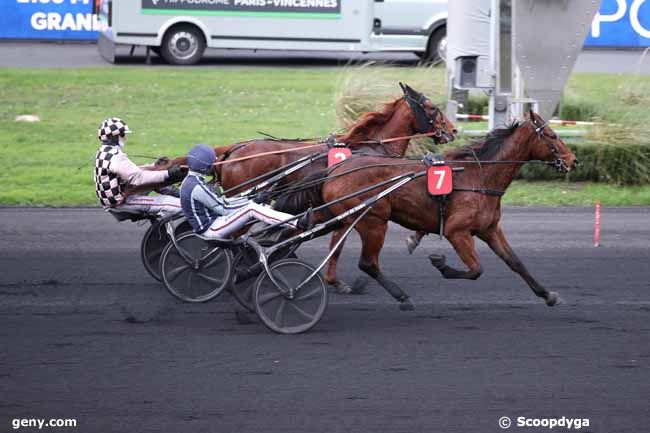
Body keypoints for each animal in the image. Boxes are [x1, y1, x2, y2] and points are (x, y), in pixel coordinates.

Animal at [274, 110, 576, 308]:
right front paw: (440, 263)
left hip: (335, 214)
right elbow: (475, 269)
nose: (574, 160)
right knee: (367, 263)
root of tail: (335, 168)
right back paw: (402, 296)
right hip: (373, 220)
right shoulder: (457, 231)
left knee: (295, 230)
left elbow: (515, 262)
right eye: (552, 135)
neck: (479, 177)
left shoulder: (490, 229)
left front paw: (547, 294)